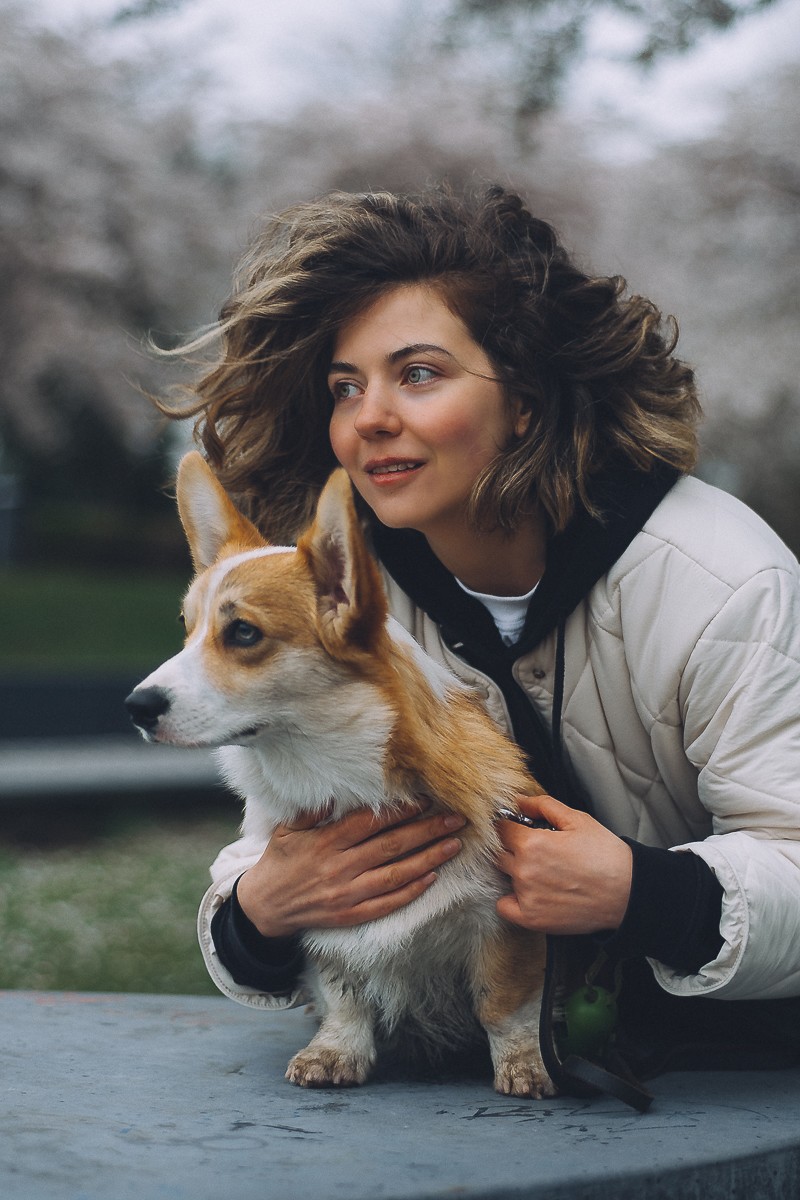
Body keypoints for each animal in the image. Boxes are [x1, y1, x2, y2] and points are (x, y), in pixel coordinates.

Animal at [126, 453, 556, 1099]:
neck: (341, 781)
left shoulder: (507, 922)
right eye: (186, 626)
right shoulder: (319, 924)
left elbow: (504, 1006)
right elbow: (344, 992)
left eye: (243, 633)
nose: (134, 707)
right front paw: (336, 1052)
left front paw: (525, 1068)